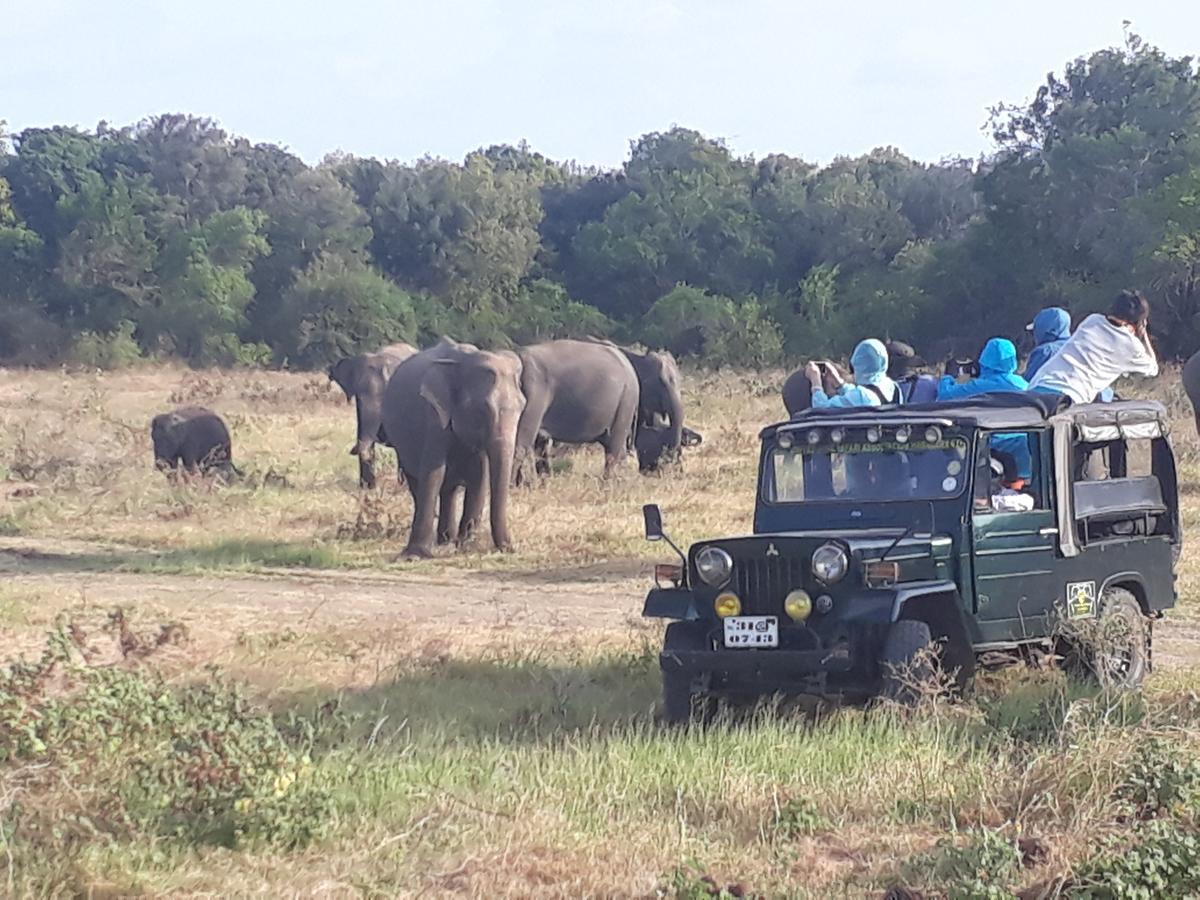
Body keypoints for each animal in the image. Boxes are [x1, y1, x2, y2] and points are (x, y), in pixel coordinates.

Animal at [384, 340, 525, 561]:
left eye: (522, 407)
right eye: (482, 410)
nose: (511, 548)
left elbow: (480, 476)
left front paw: (465, 545)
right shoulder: (434, 416)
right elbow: (433, 472)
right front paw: (414, 555)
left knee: (448, 490)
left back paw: (446, 540)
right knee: (418, 482)